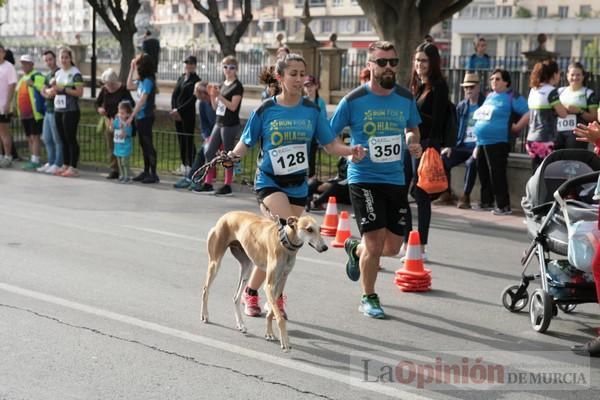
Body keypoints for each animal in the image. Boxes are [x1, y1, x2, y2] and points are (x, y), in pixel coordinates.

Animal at [199, 211, 326, 352]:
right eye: (309, 229)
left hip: (247, 267)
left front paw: (269, 333)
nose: (325, 247)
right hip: (215, 263)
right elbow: (280, 318)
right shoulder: (269, 285)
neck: (284, 242)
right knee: (205, 290)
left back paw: (241, 324)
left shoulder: (281, 282)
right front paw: (285, 341)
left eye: (320, 229)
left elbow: (271, 312)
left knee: (236, 298)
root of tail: (226, 215)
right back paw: (205, 315)